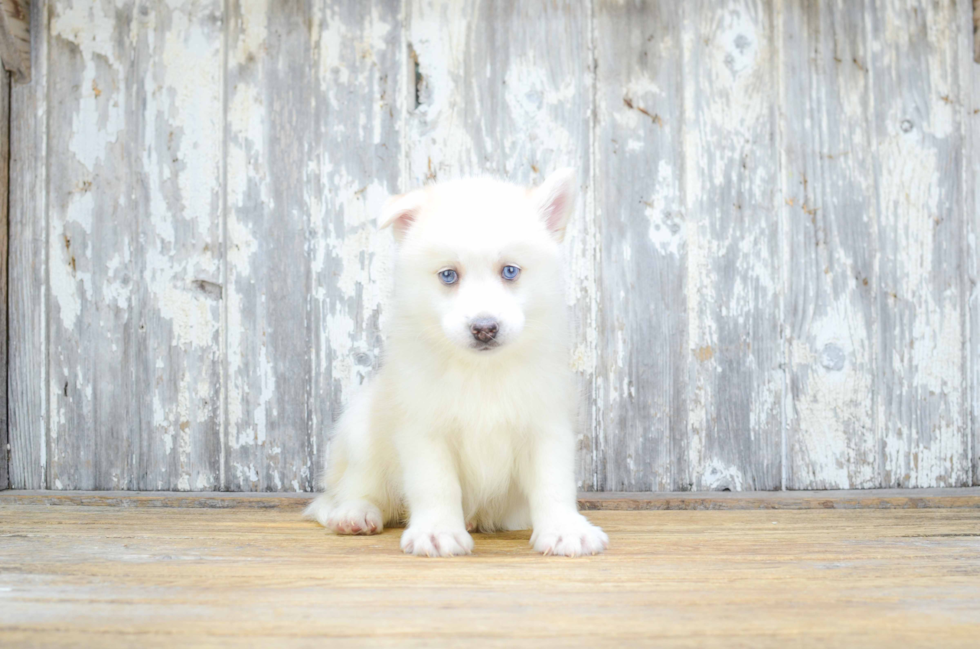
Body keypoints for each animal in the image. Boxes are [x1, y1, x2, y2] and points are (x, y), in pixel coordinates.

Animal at [306, 168, 608, 556]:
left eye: (510, 271)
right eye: (448, 275)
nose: (484, 328)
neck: (481, 371)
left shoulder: (545, 423)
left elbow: (553, 482)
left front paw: (564, 530)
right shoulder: (424, 427)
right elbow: (436, 484)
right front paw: (437, 532)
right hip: (360, 429)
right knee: (351, 490)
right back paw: (354, 513)